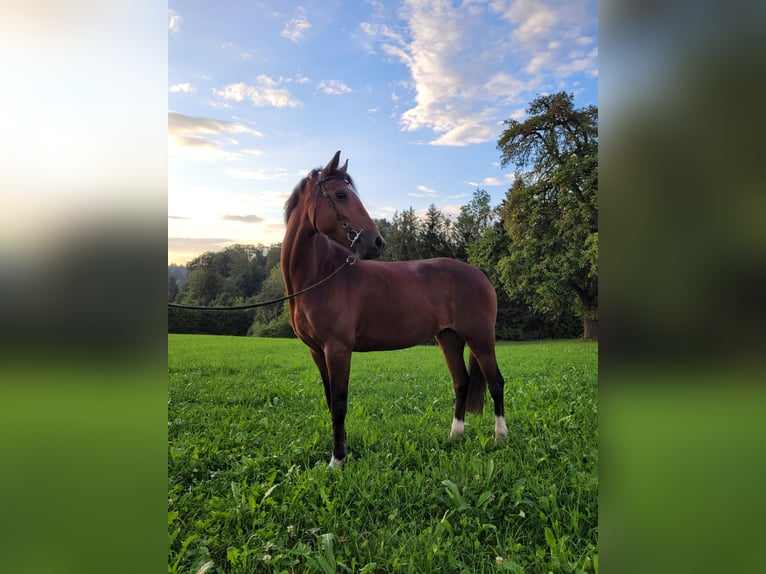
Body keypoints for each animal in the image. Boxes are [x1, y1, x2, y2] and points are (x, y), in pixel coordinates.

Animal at [280, 151, 508, 470]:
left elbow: (339, 404)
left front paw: (337, 461)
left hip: (480, 339)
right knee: (461, 382)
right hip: (449, 338)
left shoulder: (338, 349)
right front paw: (343, 451)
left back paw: (500, 437)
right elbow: (330, 401)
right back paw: (455, 435)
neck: (321, 275)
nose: (376, 242)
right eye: (340, 194)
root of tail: (477, 271)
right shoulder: (317, 351)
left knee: (496, 382)